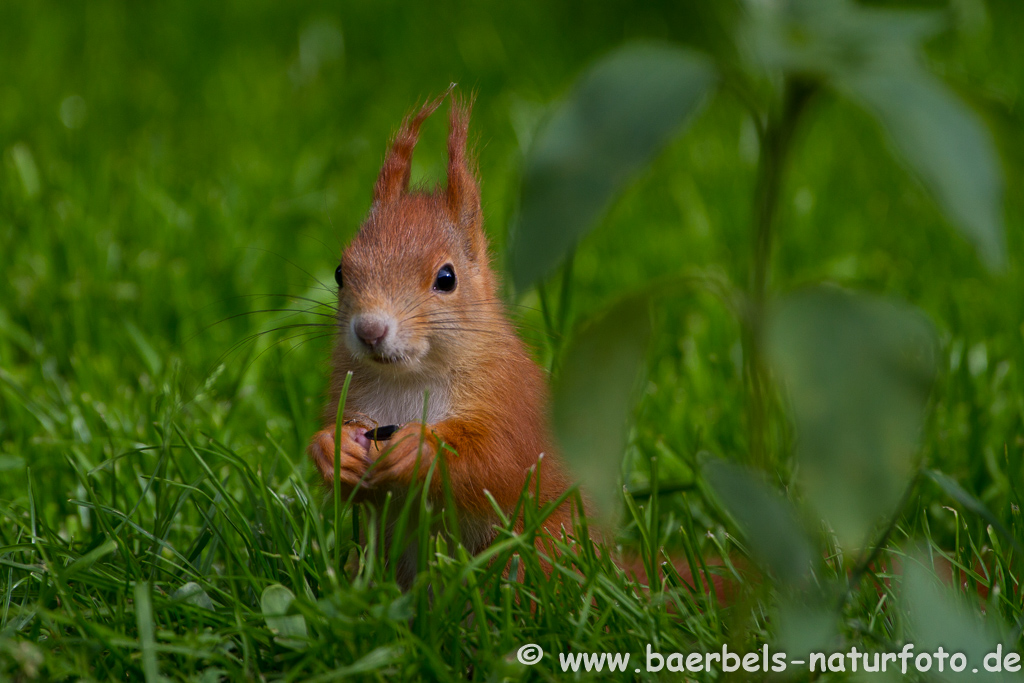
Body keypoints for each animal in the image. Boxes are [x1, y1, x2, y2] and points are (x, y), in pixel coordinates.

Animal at [303, 90, 577, 589]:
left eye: (446, 278)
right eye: (339, 273)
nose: (370, 330)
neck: (410, 378)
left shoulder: (508, 400)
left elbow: (498, 461)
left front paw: (420, 449)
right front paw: (331, 448)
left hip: (545, 548)